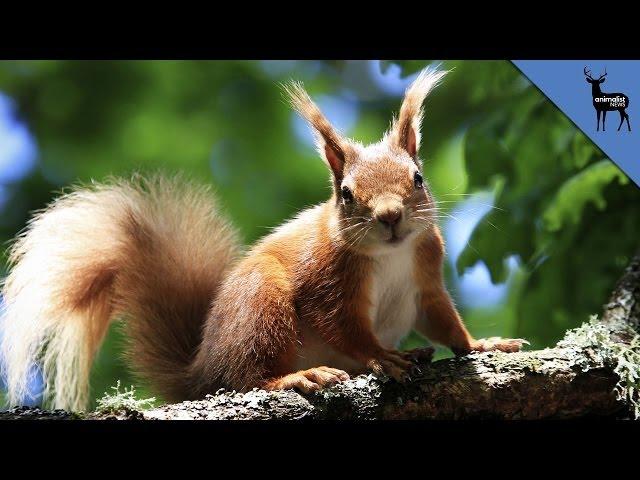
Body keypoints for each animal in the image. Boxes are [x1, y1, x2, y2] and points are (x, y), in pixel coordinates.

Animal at [0, 68, 524, 412]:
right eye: (346, 194)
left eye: (417, 178)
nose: (391, 216)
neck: (390, 255)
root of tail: (201, 371)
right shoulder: (327, 279)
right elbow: (341, 325)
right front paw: (382, 356)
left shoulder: (426, 271)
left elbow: (441, 320)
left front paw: (483, 345)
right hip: (260, 302)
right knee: (247, 378)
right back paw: (301, 375)